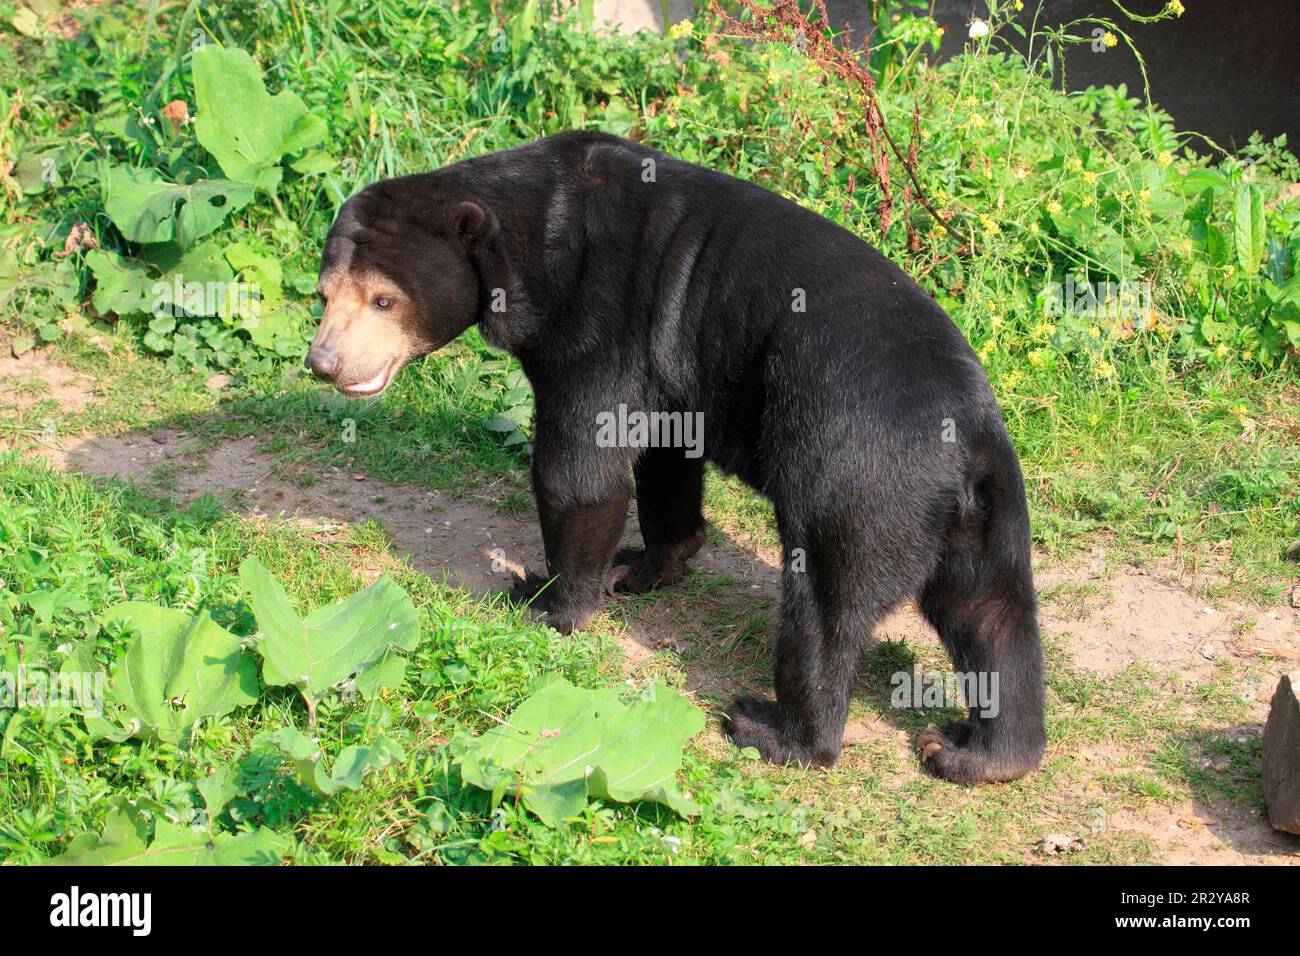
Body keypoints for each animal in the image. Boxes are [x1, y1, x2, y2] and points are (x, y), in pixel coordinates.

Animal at [309, 128, 1050, 785]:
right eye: (323, 295)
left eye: (383, 299)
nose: (324, 363)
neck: (526, 238)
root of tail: (965, 433)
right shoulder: (669, 360)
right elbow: (663, 452)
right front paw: (642, 566)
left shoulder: (597, 316)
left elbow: (582, 467)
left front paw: (545, 600)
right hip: (984, 516)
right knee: (993, 614)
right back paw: (979, 754)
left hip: (858, 477)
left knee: (825, 607)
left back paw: (775, 730)